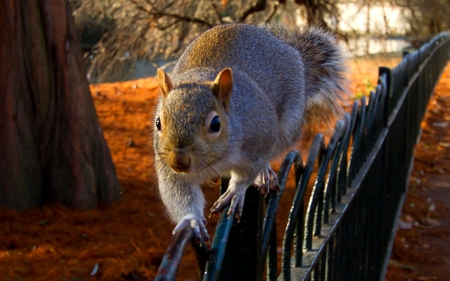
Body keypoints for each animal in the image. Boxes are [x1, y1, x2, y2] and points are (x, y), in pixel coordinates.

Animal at [153, 23, 346, 242]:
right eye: (158, 123)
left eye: (215, 124)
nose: (179, 162)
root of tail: (290, 49)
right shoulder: (167, 167)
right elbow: (178, 192)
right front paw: (191, 220)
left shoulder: (258, 140)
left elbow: (247, 173)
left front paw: (236, 192)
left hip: (286, 126)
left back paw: (264, 174)